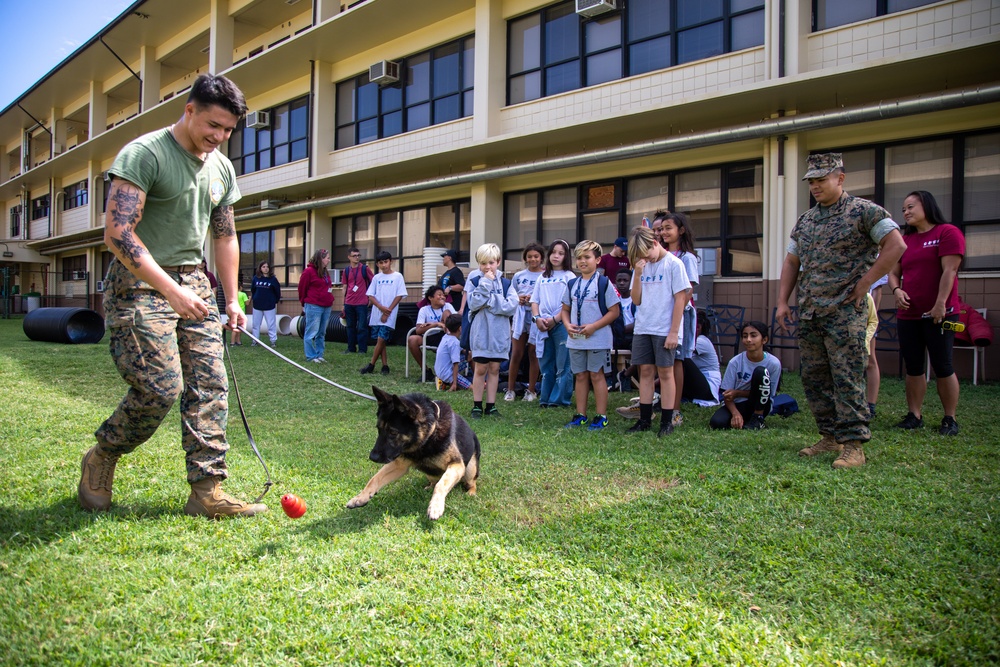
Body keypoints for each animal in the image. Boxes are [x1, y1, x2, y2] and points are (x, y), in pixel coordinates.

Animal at [348, 386, 480, 520]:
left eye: (393, 432)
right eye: (379, 429)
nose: (372, 457)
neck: (428, 438)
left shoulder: (456, 465)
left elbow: (442, 484)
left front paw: (435, 506)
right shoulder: (399, 465)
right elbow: (374, 478)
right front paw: (360, 497)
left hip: (469, 469)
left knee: (471, 482)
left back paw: (471, 492)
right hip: (430, 474)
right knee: (434, 481)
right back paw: (429, 487)